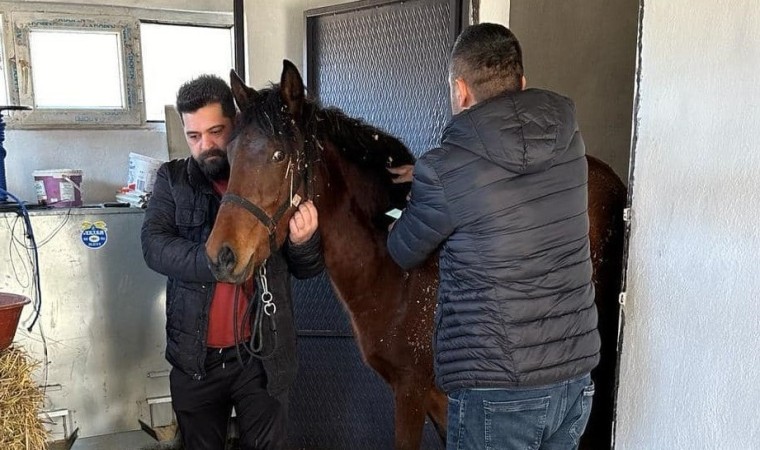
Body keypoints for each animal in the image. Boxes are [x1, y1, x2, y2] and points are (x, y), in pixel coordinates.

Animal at [205, 60, 628, 450]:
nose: (221, 255)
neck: (398, 275)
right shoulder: (438, 403)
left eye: (279, 155)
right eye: (230, 152)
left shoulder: (410, 392)